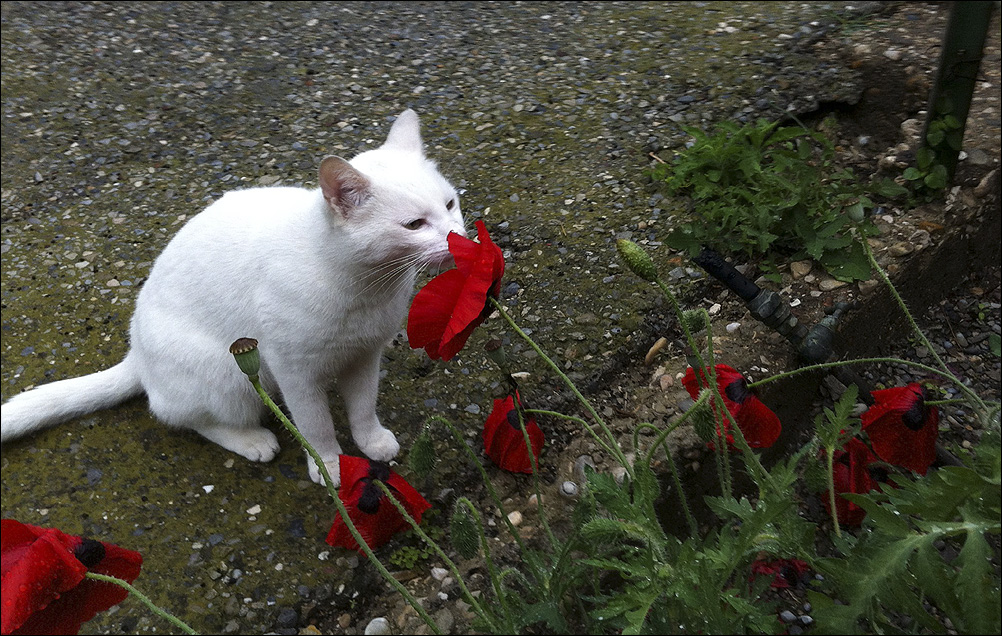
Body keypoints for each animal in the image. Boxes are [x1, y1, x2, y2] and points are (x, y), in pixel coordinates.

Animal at [0, 109, 460, 486]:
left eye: (450, 203)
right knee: (180, 415)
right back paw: (252, 440)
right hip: (230, 375)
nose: (458, 237)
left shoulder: (365, 355)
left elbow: (363, 406)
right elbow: (316, 426)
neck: (367, 285)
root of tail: (137, 353)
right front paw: (330, 467)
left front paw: (371, 442)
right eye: (414, 225)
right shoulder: (294, 371)